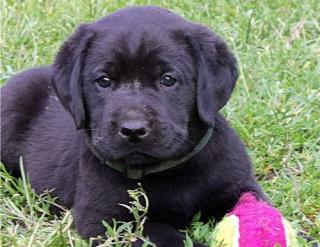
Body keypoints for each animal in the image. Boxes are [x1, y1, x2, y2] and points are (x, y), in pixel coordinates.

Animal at [0, 5, 264, 247]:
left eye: (168, 79)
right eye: (104, 81)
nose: (133, 129)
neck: (167, 171)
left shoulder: (240, 186)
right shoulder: (105, 218)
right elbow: (165, 237)